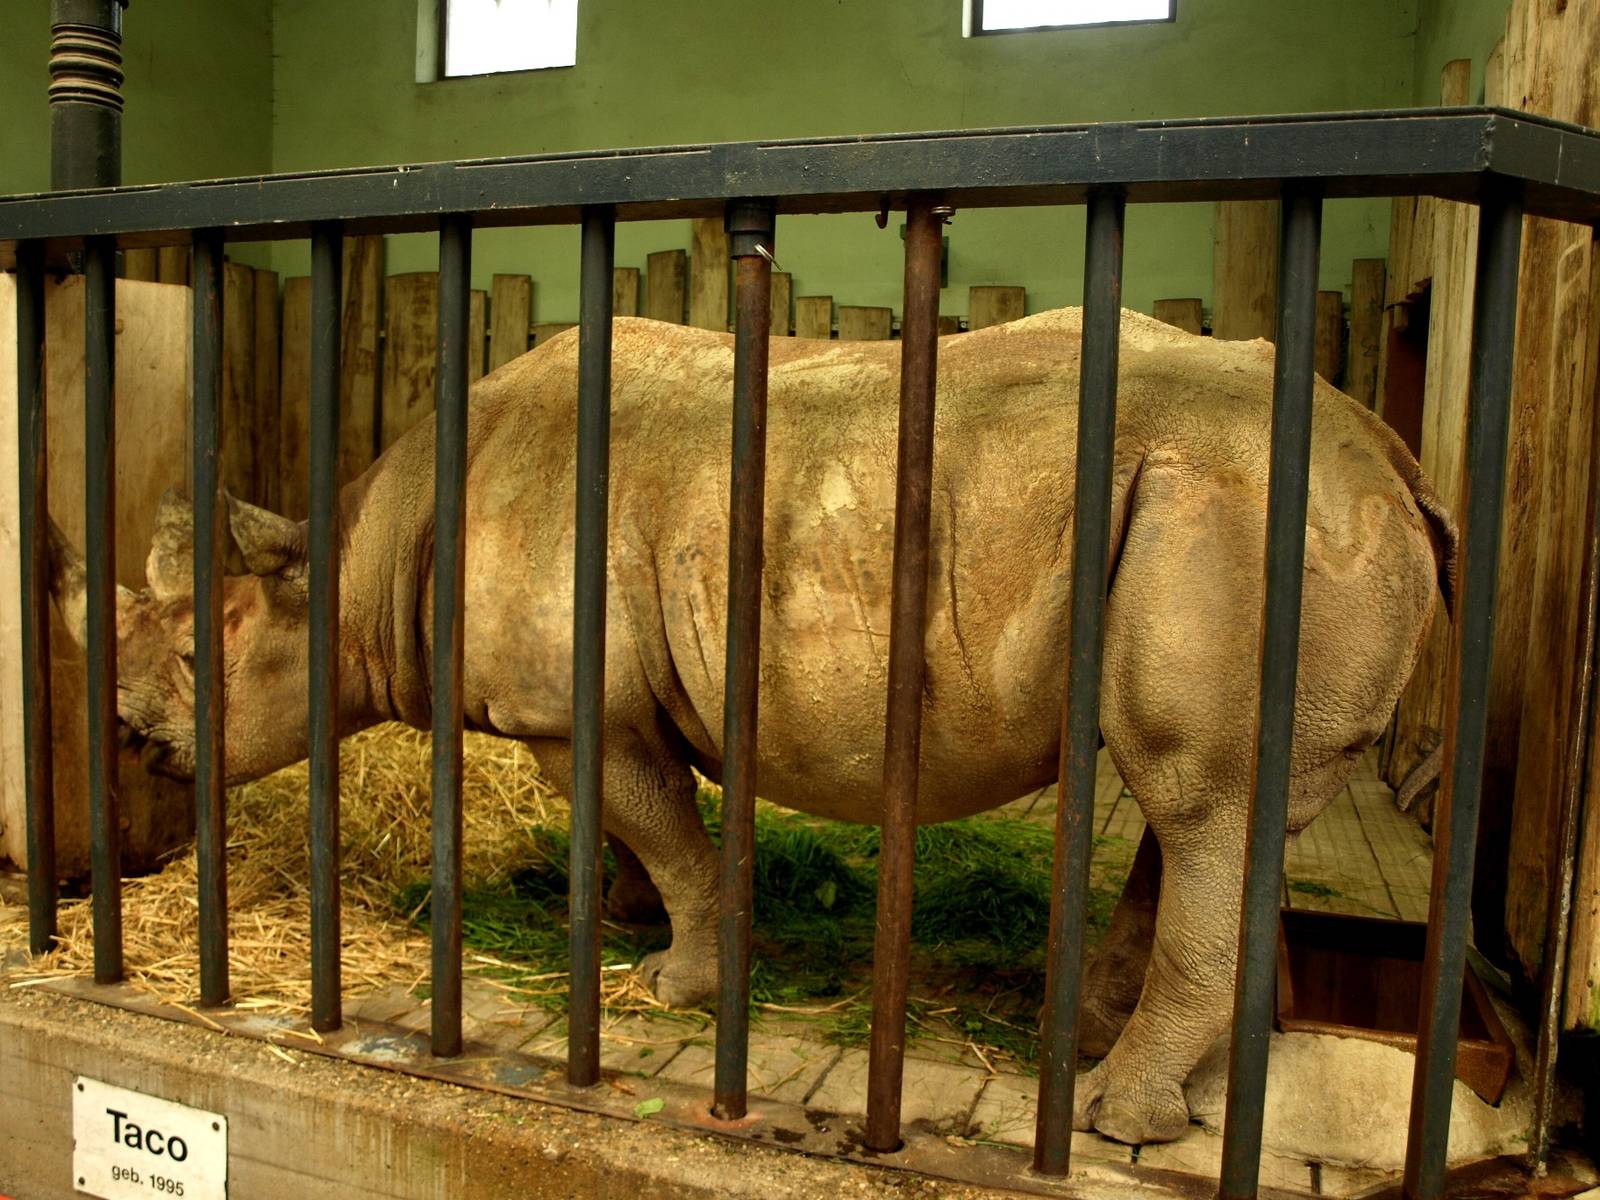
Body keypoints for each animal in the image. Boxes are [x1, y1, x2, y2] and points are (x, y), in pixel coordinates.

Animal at [47, 308, 1452, 1146]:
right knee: (1213, 811)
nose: (125, 733)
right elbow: (629, 831)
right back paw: (1123, 1057)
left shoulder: (582, 708)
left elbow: (668, 833)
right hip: (1239, 513)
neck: (359, 566)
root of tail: (1392, 452)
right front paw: (619, 919)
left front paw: (675, 984)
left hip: (1236, 508)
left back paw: (1116, 1115)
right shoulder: (600, 703)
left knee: (1199, 800)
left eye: (198, 657)